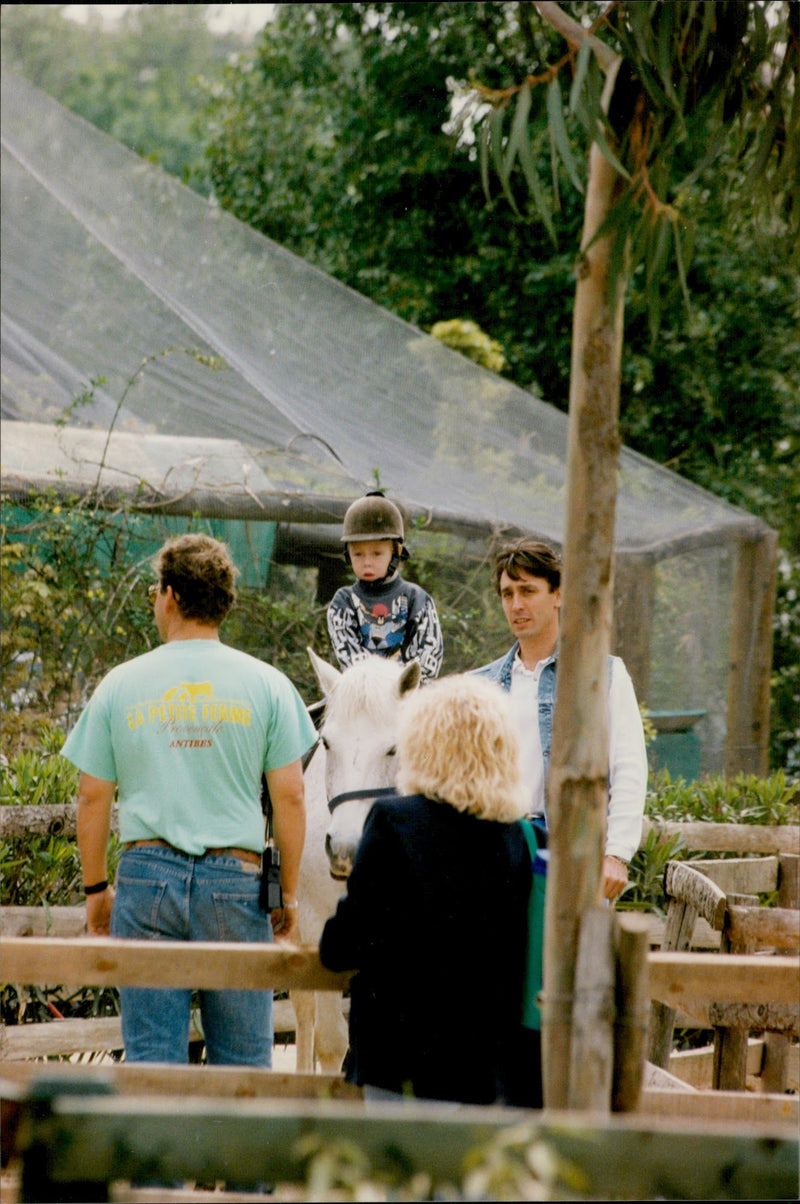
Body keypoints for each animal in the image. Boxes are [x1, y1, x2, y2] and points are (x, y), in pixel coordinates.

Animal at [290, 650, 421, 1073]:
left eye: (393, 749)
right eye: (329, 743)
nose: (345, 847)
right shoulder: (316, 926)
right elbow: (332, 1044)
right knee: (304, 1013)